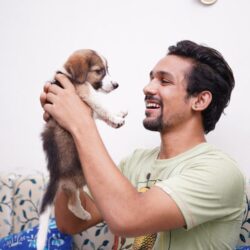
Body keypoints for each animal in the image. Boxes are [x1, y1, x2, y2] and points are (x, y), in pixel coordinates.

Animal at [36, 49, 127, 250]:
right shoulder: (86, 92)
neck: (69, 75)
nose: (117, 85)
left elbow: (100, 113)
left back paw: (84, 214)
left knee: (72, 203)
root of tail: (56, 174)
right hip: (85, 174)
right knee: (76, 201)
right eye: (99, 71)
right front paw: (116, 118)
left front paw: (117, 115)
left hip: (73, 183)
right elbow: (101, 105)